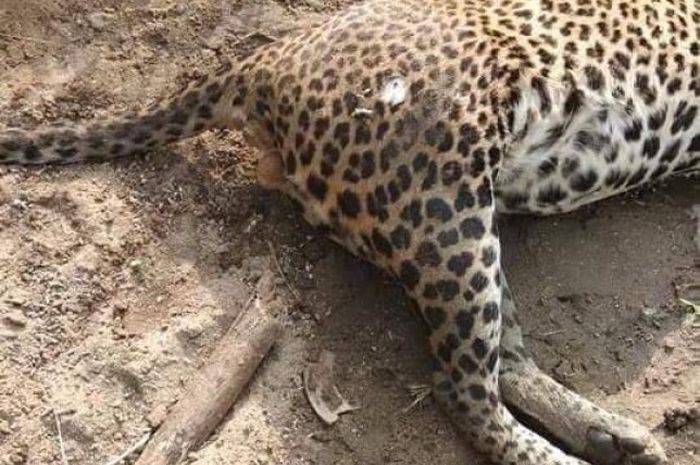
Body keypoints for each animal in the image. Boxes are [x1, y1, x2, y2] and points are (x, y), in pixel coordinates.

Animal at [1, 1, 698, 464]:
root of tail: (263, 63)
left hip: (464, 225)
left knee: (508, 366)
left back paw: (613, 436)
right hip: (446, 215)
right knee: (464, 390)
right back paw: (574, 453)